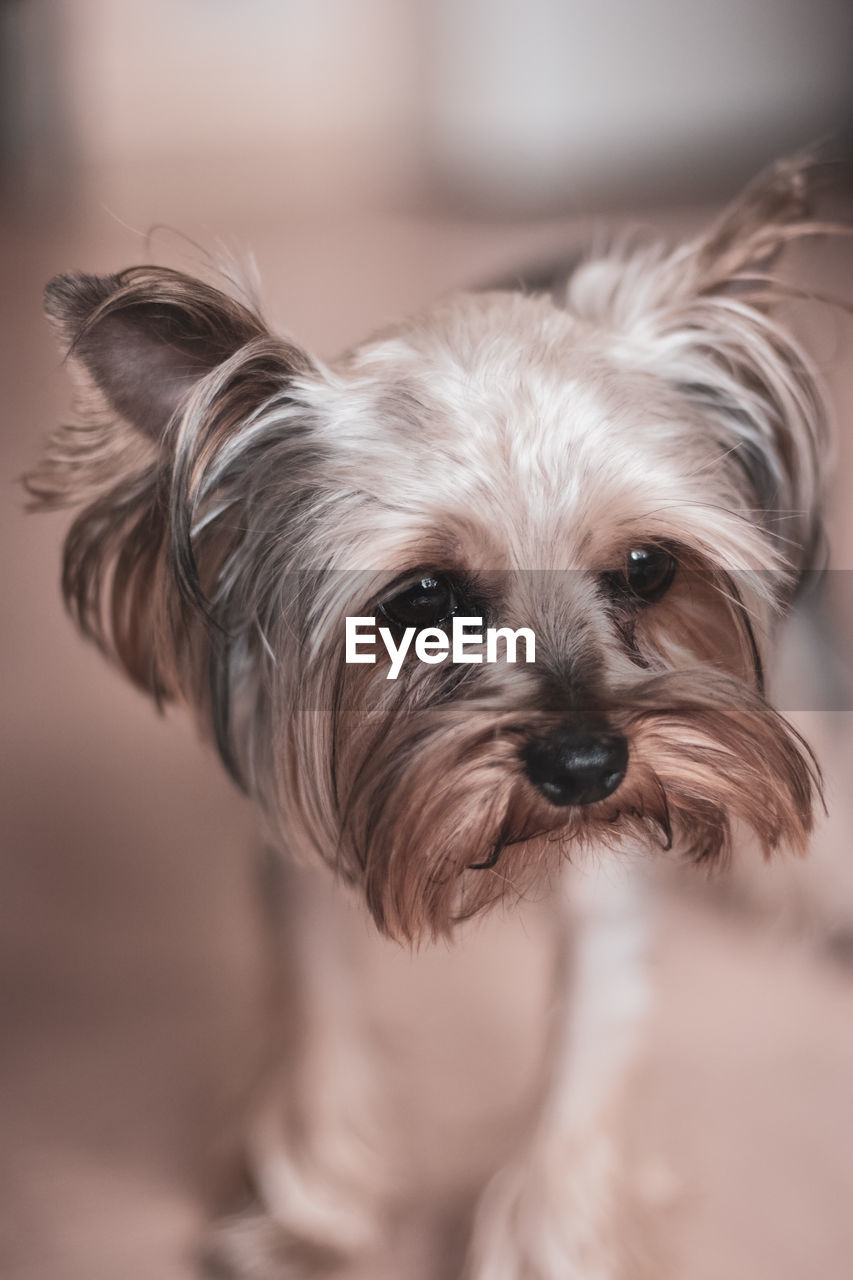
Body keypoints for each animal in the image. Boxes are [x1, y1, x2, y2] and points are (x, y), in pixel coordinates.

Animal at [26, 154, 835, 1274]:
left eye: (646, 567)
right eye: (421, 600)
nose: (585, 766)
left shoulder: (616, 856)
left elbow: (593, 1028)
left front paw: (556, 1236)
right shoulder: (306, 806)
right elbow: (314, 993)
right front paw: (311, 1201)